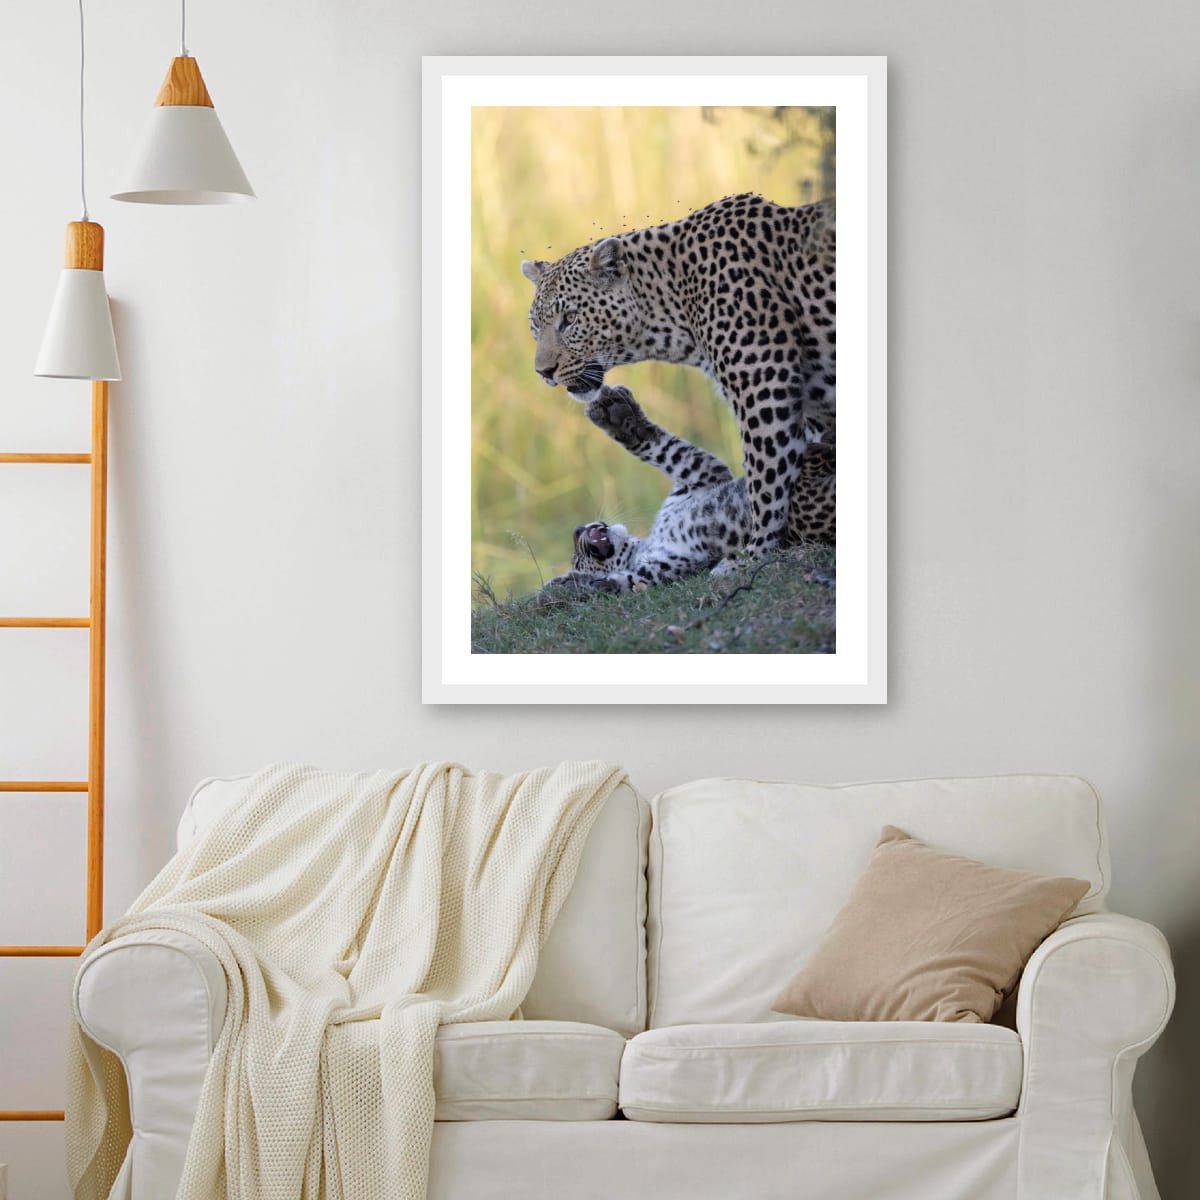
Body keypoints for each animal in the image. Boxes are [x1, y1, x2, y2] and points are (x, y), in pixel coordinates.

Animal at [521, 192, 835, 558]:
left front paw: (754, 553)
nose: (543, 371)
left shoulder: (765, 387)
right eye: (535, 326)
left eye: (570, 319)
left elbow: (766, 482)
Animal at [546, 386, 834, 594]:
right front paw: (578, 586)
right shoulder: (679, 562)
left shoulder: (703, 475)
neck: (646, 544)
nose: (577, 530)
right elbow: (633, 580)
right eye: (577, 560)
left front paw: (618, 415)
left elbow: (665, 448)